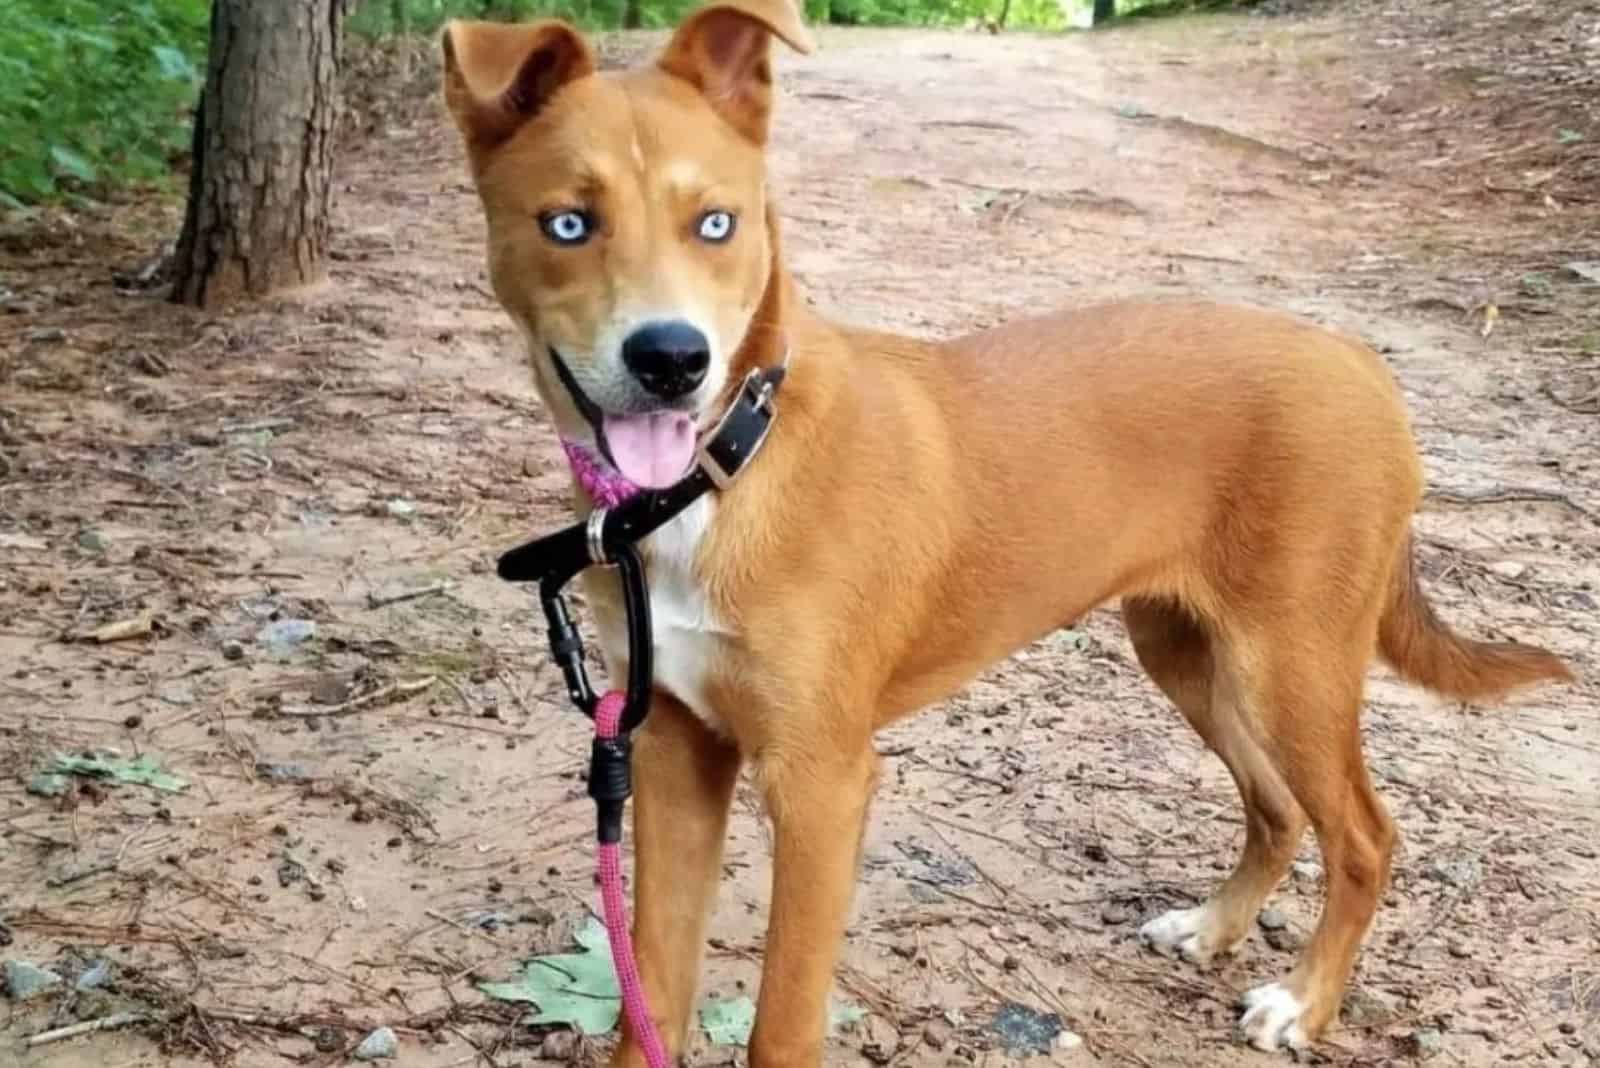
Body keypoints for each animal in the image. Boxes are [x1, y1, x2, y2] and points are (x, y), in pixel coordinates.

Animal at [441, 4, 1574, 1061]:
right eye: (568, 225)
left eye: (715, 224)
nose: (672, 358)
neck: (725, 469)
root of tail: (1359, 361)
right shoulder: (676, 745)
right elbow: (651, 1002)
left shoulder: (821, 782)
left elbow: (782, 1025)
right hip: (1186, 651)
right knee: (1278, 808)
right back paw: (1213, 928)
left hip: (1294, 664)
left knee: (1366, 835)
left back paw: (1304, 1003)